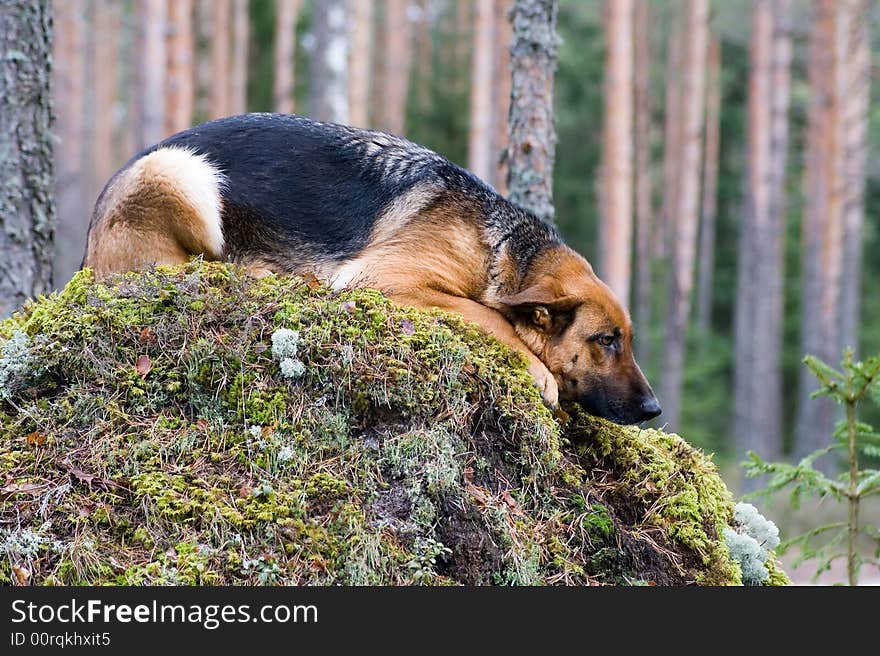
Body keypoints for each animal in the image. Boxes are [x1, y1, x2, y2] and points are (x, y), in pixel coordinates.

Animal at [84, 114, 660, 426]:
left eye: (627, 339)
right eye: (606, 341)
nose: (655, 410)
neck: (500, 247)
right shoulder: (387, 278)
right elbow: (489, 315)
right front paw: (537, 370)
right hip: (184, 172)